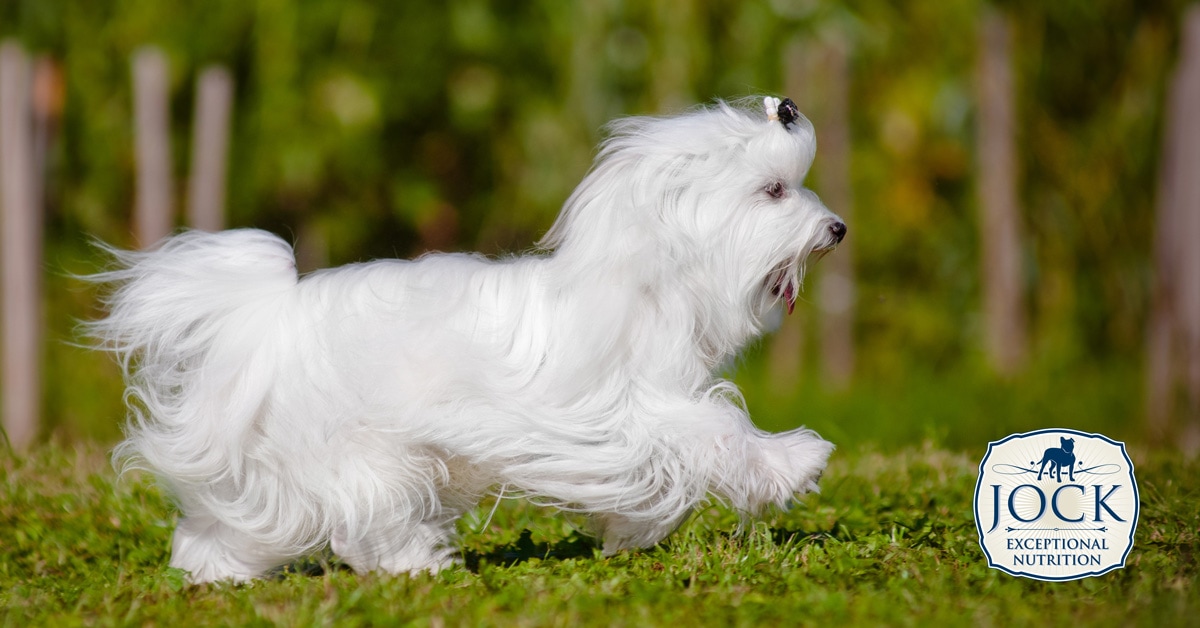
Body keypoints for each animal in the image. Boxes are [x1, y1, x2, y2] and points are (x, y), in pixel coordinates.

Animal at [88, 96, 844, 583]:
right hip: (358, 451)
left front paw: (630, 533)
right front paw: (796, 462)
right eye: (774, 191)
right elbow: (715, 432)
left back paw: (215, 573)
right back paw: (419, 567)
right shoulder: (631, 410)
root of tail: (267, 318)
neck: (651, 276)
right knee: (370, 514)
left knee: (240, 527)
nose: (836, 229)